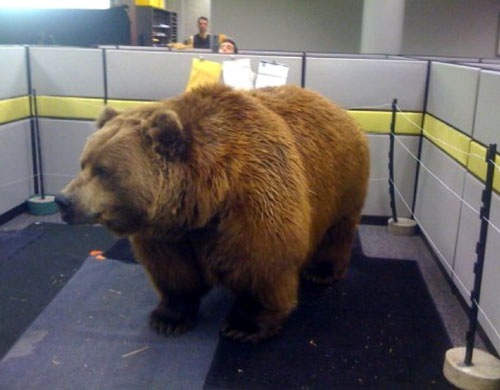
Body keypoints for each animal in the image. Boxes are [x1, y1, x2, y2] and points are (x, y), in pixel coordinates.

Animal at [56, 84, 372, 342]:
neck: (205, 199)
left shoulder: (255, 201)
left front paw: (244, 326)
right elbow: (173, 271)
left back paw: (321, 272)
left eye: (103, 170)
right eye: (84, 162)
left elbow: (262, 265)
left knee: (337, 230)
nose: (63, 200)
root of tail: (335, 106)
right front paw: (168, 318)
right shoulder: (169, 233)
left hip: (341, 180)